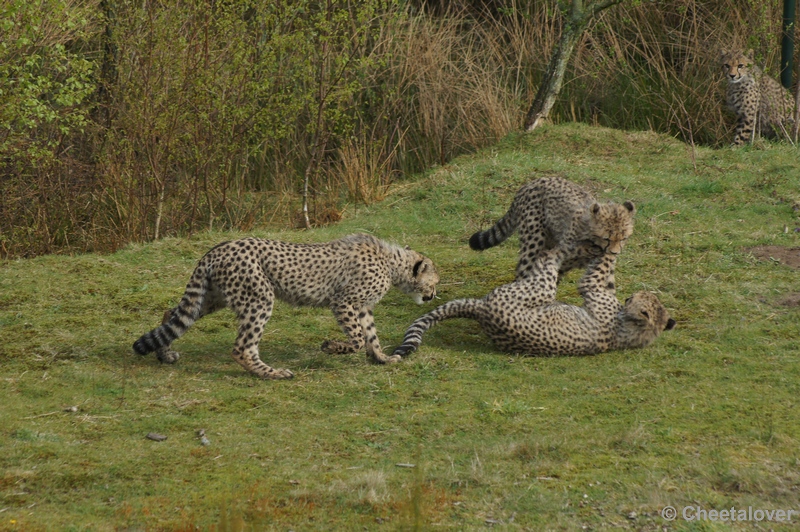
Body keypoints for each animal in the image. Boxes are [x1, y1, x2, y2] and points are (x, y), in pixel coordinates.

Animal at [134, 233, 440, 378]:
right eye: (434, 282)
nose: (434, 295)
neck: (393, 263)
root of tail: (218, 248)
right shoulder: (343, 301)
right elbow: (355, 338)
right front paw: (331, 347)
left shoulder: (362, 307)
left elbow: (370, 336)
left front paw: (382, 358)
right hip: (258, 298)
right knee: (242, 347)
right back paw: (272, 374)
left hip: (213, 297)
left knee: (174, 315)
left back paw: (165, 354)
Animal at [394, 246, 676, 358]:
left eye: (636, 299)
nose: (630, 297)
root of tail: (482, 311)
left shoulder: (594, 289)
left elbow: (603, 266)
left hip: (540, 287)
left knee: (550, 258)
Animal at [466, 178, 636, 280]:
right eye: (606, 238)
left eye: (623, 238)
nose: (615, 252)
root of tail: (531, 183)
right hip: (533, 239)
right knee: (524, 268)